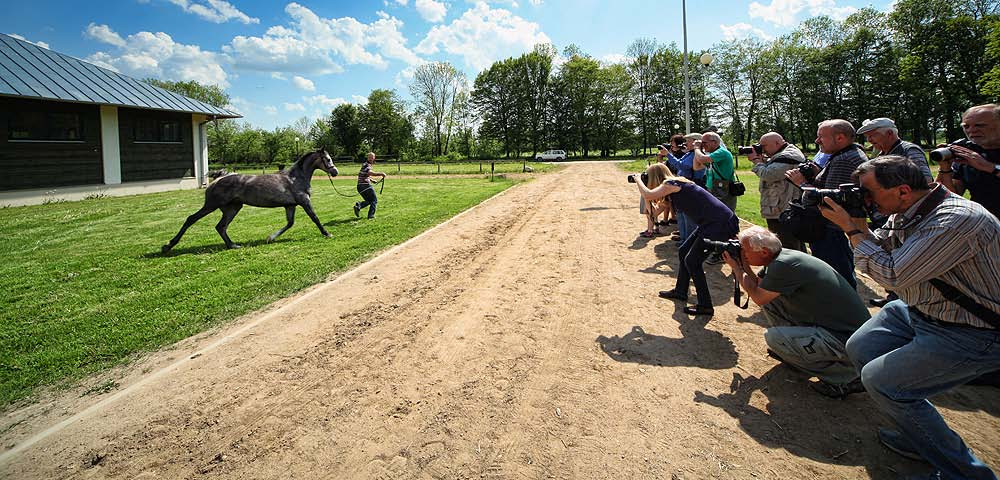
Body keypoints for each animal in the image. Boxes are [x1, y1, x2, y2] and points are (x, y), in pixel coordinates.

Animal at [161, 147, 340, 251]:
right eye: (328, 159)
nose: (335, 172)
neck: (296, 178)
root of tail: (218, 179)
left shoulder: (290, 206)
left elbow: (290, 223)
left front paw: (270, 238)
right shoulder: (304, 202)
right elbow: (315, 218)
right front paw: (327, 233)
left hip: (232, 208)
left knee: (221, 227)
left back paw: (232, 245)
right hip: (211, 205)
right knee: (191, 219)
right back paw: (168, 246)